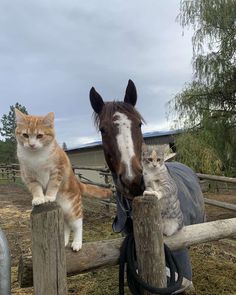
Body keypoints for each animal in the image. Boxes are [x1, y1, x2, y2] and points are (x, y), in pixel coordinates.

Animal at [15, 108, 112, 252]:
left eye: (40, 136)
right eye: (25, 135)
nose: (31, 145)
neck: (36, 156)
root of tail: (77, 183)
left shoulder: (57, 171)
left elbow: (52, 185)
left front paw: (48, 196)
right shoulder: (29, 175)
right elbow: (36, 188)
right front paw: (38, 199)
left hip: (73, 207)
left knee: (78, 224)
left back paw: (77, 243)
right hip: (64, 210)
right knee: (65, 225)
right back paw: (64, 241)